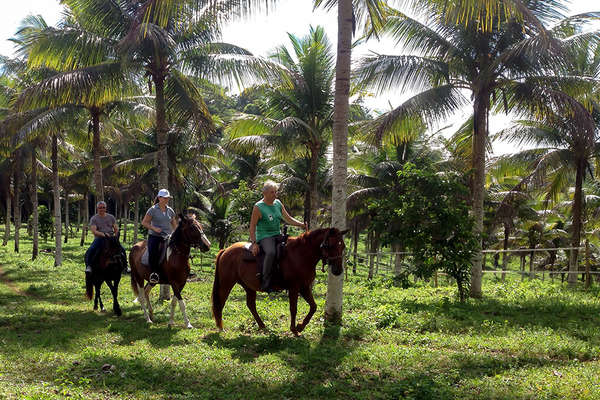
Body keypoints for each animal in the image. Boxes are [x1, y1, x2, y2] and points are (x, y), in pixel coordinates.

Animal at [213, 228, 350, 334]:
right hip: (226, 284)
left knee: (251, 305)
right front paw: (294, 329)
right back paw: (220, 327)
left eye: (342, 245)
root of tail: (225, 250)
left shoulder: (305, 287)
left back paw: (262, 326)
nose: (338, 270)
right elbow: (293, 308)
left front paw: (300, 326)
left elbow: (313, 307)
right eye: (329, 245)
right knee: (220, 303)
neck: (301, 255)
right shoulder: (294, 288)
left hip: (249, 286)